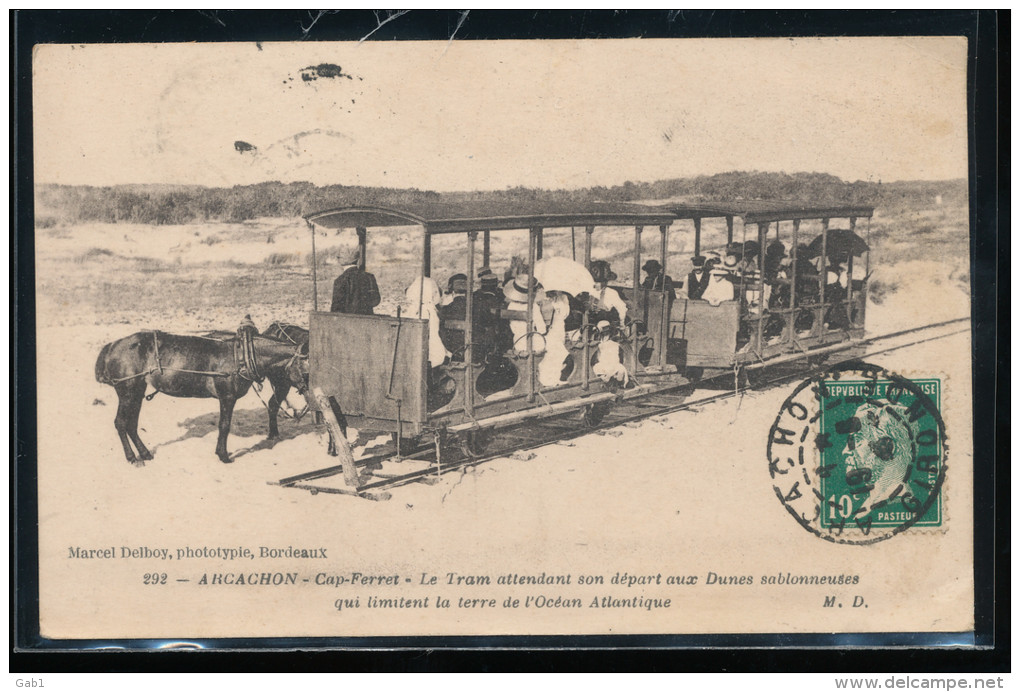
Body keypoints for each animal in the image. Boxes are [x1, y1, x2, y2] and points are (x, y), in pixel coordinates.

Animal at [94, 330, 303, 465]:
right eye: (304, 365)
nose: (304, 388)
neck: (240, 356)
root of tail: (112, 346)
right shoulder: (227, 397)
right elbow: (224, 426)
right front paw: (223, 455)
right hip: (127, 391)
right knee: (121, 423)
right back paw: (132, 458)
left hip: (137, 391)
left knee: (131, 424)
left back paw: (144, 453)